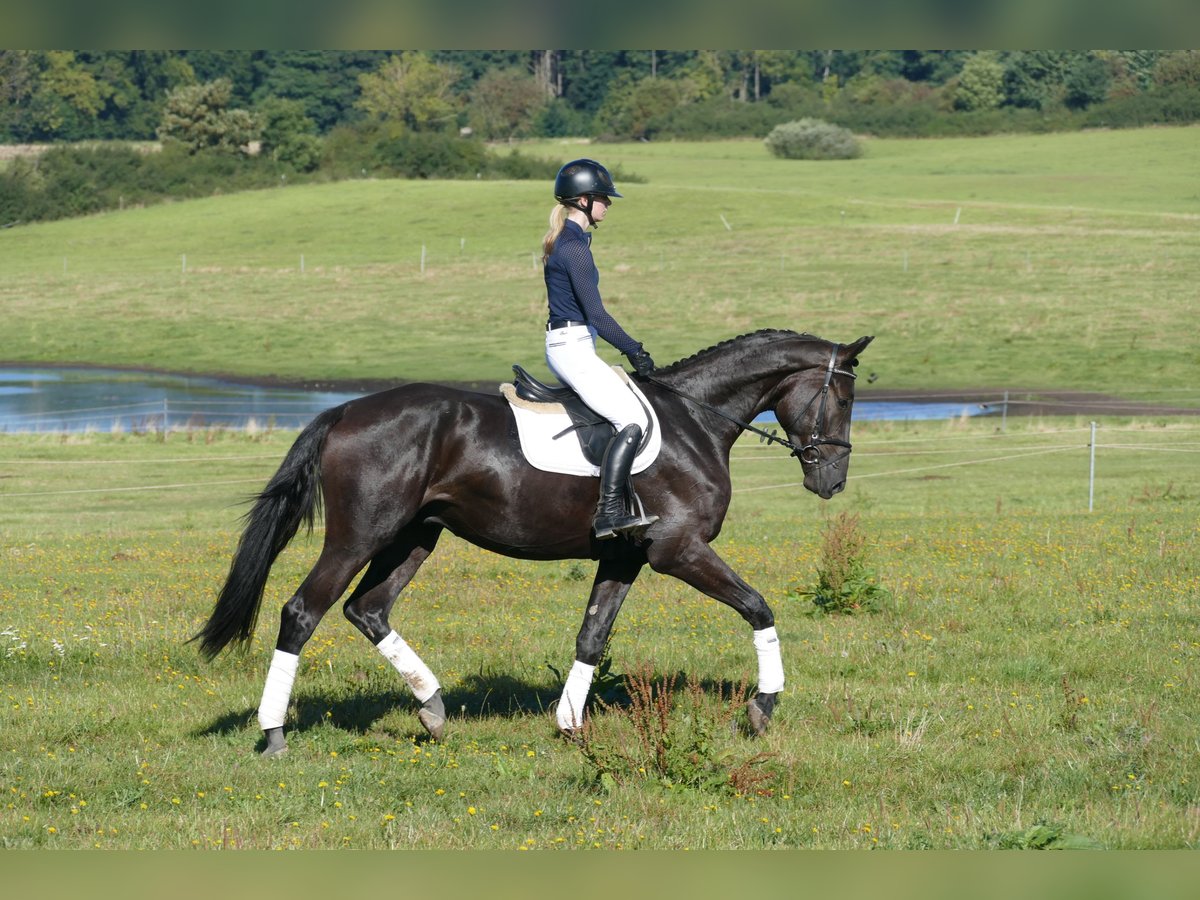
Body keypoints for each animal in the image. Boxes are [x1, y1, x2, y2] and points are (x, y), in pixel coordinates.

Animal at [193, 329, 873, 756]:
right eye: (843, 396)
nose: (832, 480)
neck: (696, 420)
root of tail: (344, 411)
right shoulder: (677, 551)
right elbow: (758, 606)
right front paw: (763, 706)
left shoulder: (625, 556)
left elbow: (592, 637)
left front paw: (569, 725)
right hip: (360, 535)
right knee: (302, 612)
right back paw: (274, 734)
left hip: (413, 537)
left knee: (368, 609)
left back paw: (433, 708)